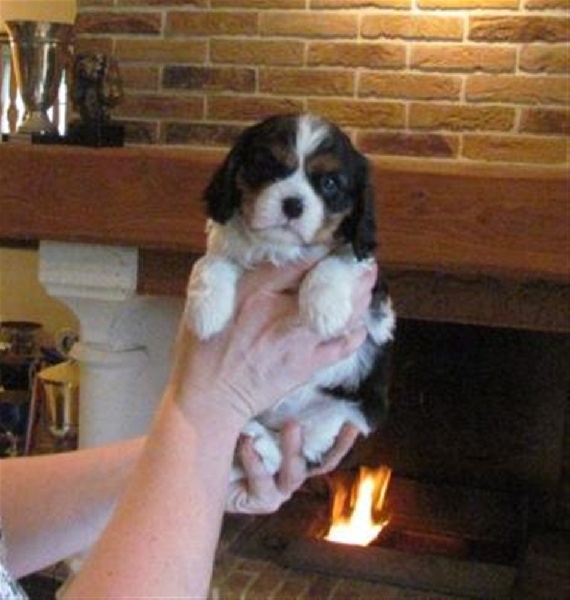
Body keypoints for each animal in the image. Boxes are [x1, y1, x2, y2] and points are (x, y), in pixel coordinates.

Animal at [185, 114, 395, 481]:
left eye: (329, 184)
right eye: (268, 166)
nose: (293, 204)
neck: (280, 250)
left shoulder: (369, 284)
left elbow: (337, 261)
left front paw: (324, 308)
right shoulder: (226, 245)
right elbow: (210, 262)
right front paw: (206, 309)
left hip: (341, 412)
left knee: (298, 449)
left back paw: (260, 445)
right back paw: (251, 439)